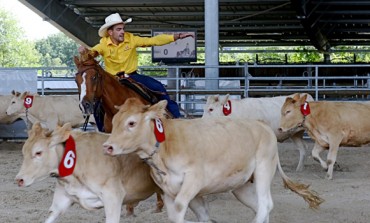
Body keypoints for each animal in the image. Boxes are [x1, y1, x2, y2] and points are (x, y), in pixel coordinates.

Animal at [102, 98, 324, 223]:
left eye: (131, 123)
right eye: (114, 121)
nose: (108, 146)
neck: (165, 145)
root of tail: (263, 126)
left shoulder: (194, 180)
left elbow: (179, 211)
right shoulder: (170, 190)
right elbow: (189, 215)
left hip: (263, 171)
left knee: (265, 205)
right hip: (241, 185)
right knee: (261, 207)